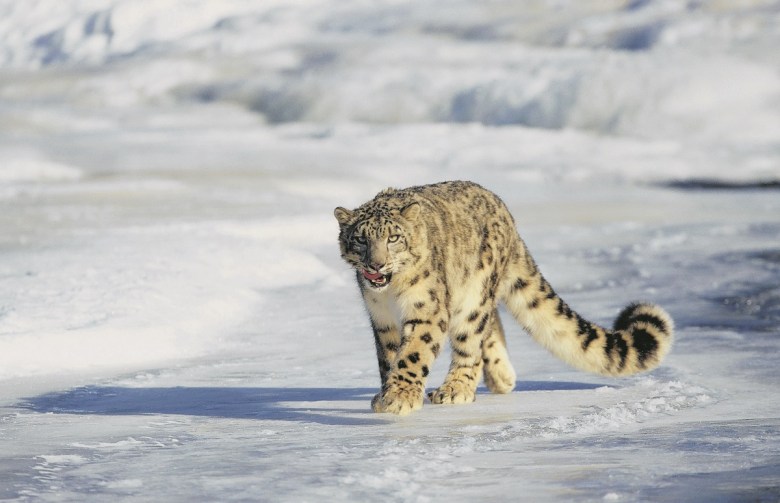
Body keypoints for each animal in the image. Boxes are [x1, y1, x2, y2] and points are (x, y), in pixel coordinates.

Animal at [332, 181, 672, 418]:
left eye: (393, 238)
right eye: (360, 239)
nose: (376, 265)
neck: (392, 295)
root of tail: (506, 214)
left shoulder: (426, 310)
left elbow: (413, 354)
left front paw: (400, 397)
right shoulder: (382, 319)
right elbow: (389, 357)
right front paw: (387, 393)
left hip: (474, 294)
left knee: (471, 339)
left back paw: (457, 388)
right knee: (490, 324)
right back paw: (501, 376)